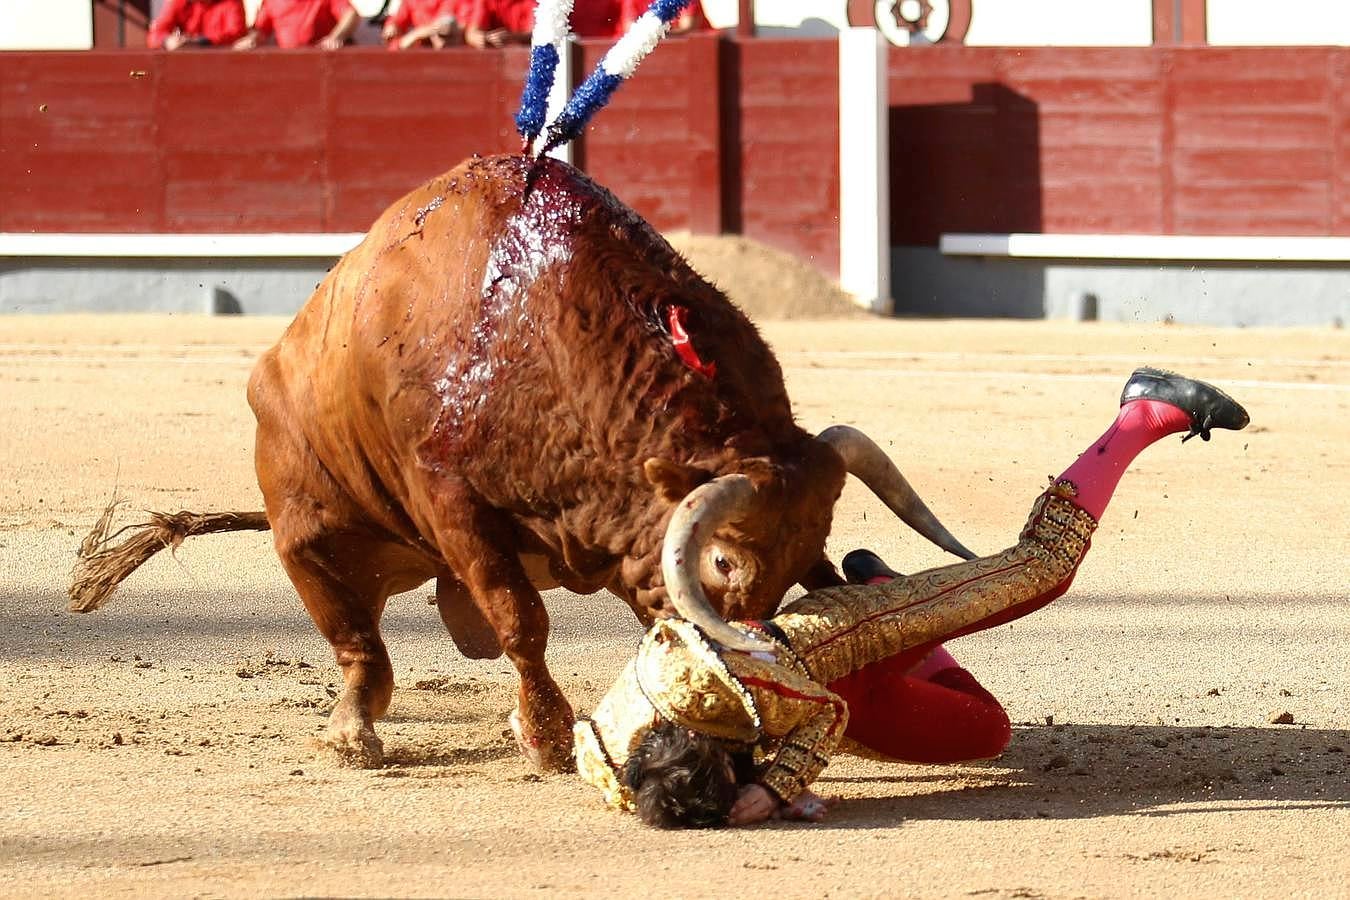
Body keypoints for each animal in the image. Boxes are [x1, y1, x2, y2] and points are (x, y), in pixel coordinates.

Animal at [71, 151, 972, 771]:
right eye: (723, 559)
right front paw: (545, 738)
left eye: (805, 554)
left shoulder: (629, 544)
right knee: (359, 645)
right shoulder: (454, 501)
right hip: (310, 535)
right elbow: (519, 617)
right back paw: (352, 734)